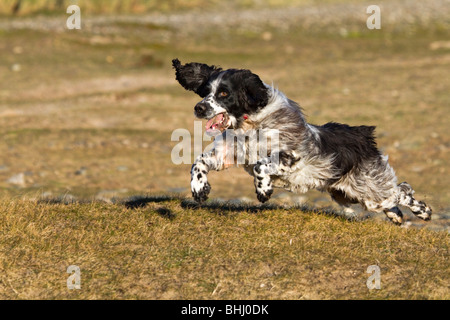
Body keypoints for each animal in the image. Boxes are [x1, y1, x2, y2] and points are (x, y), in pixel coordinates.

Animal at [172, 59, 432, 225]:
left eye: (224, 93)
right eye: (206, 90)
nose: (199, 108)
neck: (250, 125)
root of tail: (363, 135)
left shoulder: (291, 155)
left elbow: (261, 166)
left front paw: (264, 190)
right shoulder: (227, 154)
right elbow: (198, 163)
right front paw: (199, 189)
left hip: (370, 189)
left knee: (402, 190)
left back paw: (423, 212)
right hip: (350, 194)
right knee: (393, 199)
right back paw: (396, 216)